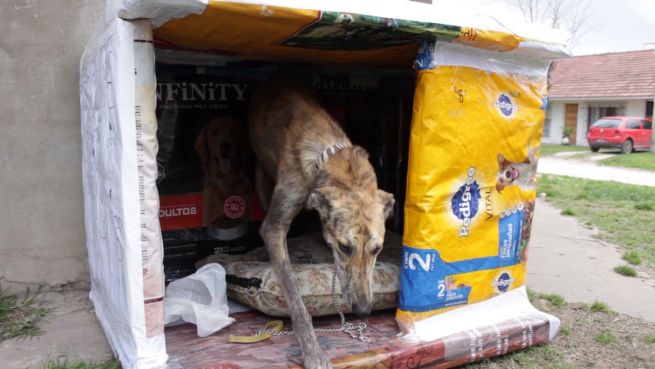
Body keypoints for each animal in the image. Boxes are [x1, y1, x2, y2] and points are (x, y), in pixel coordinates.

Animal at [249, 81, 394, 368]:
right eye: (344, 247)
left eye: (377, 249)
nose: (363, 311)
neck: (330, 159)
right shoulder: (274, 226)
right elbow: (295, 298)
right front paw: (312, 350)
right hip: (261, 172)